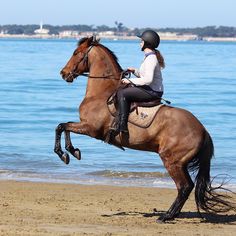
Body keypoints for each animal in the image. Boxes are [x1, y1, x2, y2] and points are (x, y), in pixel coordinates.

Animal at [54, 36, 234, 222]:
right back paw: (172, 214)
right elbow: (63, 126)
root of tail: (203, 131)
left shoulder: (90, 128)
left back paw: (166, 216)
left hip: (171, 161)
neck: (101, 93)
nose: (63, 73)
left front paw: (66, 153)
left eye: (76, 53)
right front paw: (72, 151)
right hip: (180, 162)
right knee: (188, 186)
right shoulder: (85, 126)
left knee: (184, 186)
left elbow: (61, 126)